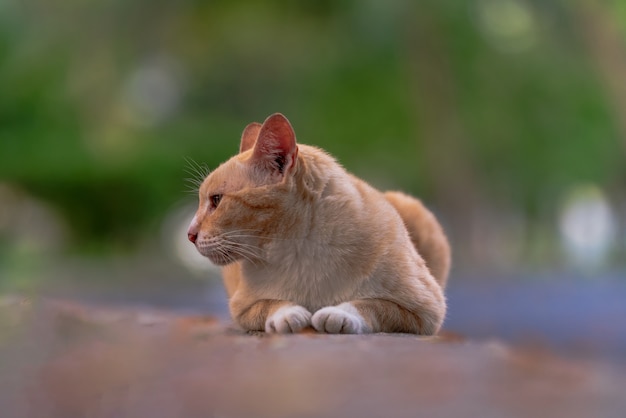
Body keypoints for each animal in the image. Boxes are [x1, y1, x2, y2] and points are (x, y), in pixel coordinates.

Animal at [185, 112, 448, 334]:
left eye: (216, 200)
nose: (189, 234)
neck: (300, 247)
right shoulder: (243, 308)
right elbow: (271, 304)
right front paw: (290, 315)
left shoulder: (427, 310)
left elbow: (369, 304)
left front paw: (337, 315)